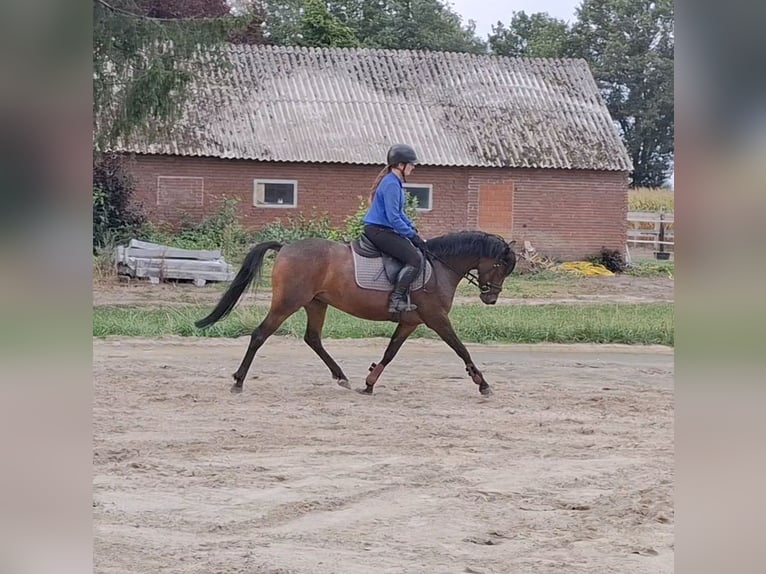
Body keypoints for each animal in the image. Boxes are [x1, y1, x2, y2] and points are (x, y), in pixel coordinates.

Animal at [195, 230, 517, 397]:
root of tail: (285, 247)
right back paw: (238, 381)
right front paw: (483, 383)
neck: (440, 267)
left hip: (316, 303)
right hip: (288, 302)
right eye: (501, 266)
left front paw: (370, 383)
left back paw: (341, 377)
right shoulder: (436, 318)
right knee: (260, 335)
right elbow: (461, 349)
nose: (490, 297)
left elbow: (390, 352)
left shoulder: (410, 322)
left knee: (313, 339)